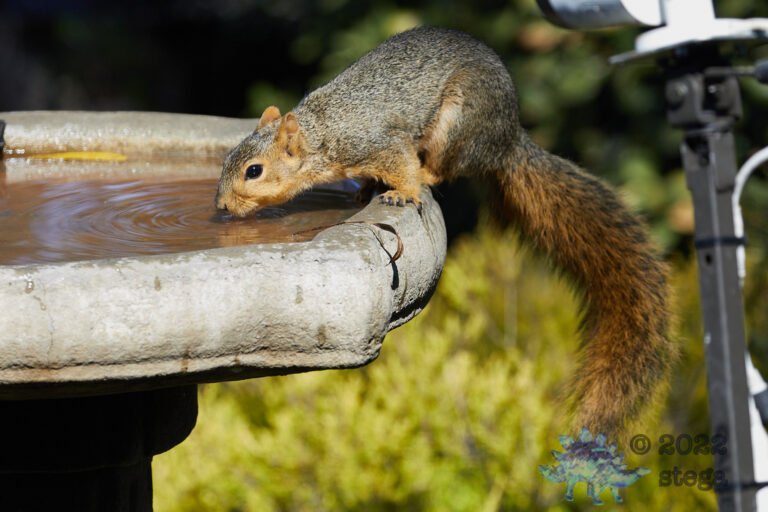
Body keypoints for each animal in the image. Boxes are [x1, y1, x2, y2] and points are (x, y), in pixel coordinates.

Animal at [215, 26, 673, 439]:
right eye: (228, 160)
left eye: (253, 171)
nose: (220, 207)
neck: (321, 134)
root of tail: (507, 139)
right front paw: (362, 190)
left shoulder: (380, 144)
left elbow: (401, 164)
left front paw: (402, 191)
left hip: (459, 120)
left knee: (443, 167)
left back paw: (424, 178)